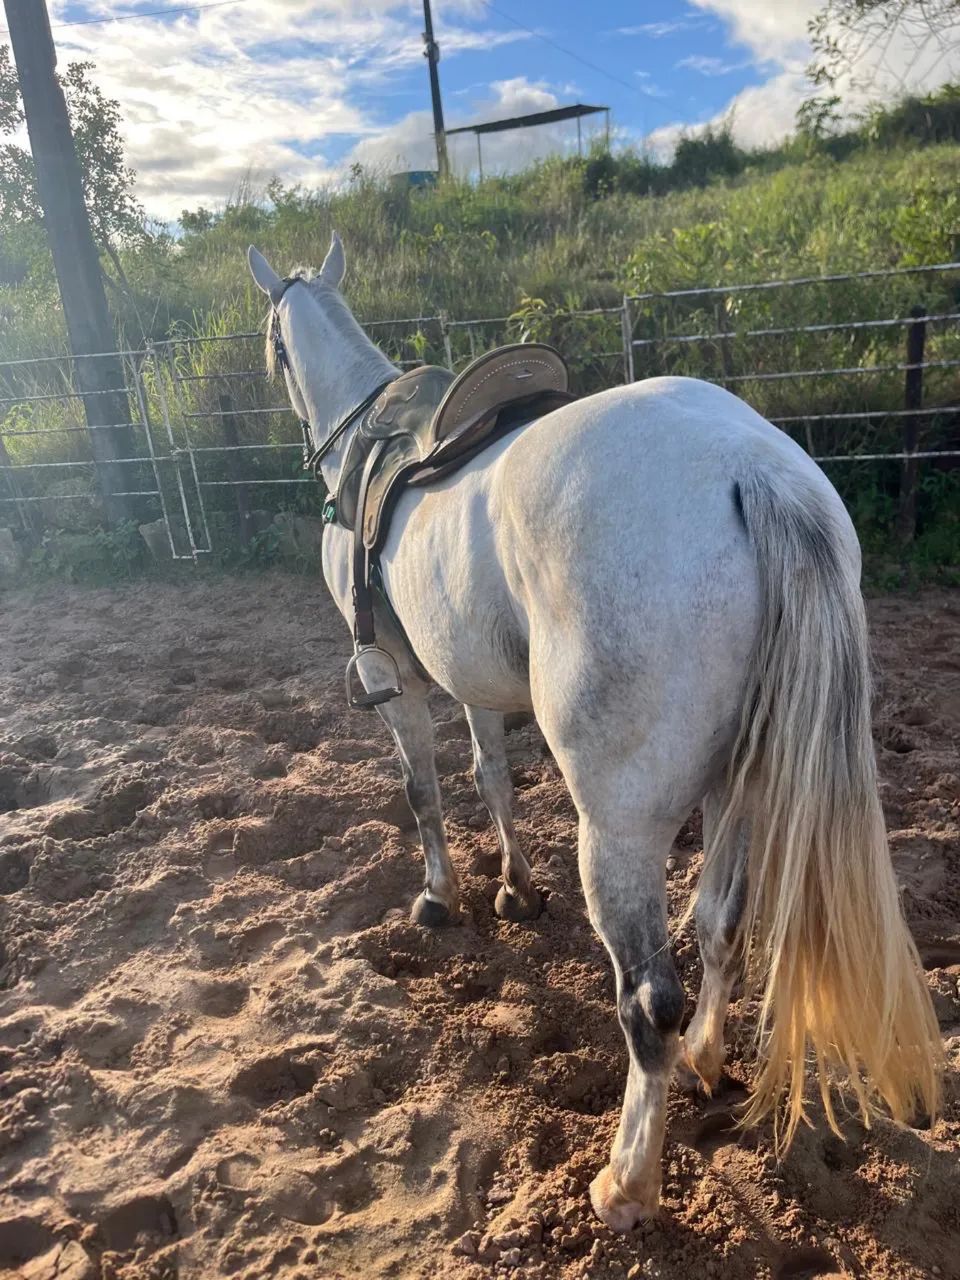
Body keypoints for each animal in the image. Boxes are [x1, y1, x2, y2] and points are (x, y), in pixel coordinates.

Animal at [246, 234, 941, 1231]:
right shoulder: (475, 685)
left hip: (617, 831)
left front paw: (440, 900)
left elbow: (424, 793)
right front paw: (514, 890)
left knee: (647, 1001)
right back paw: (703, 1062)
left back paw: (625, 1183)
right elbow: (491, 779)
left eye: (271, 343)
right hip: (739, 788)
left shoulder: (399, 687)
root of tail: (752, 469)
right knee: (722, 924)